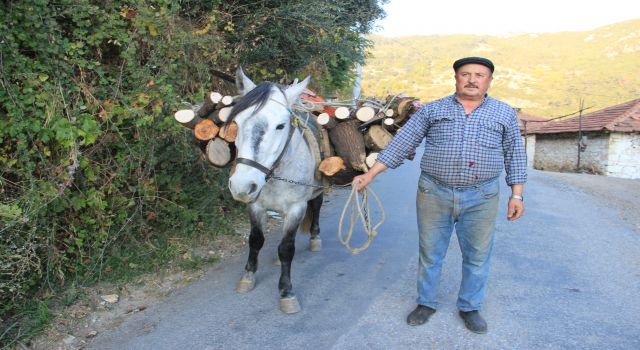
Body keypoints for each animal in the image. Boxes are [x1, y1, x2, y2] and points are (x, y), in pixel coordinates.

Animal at [228, 69, 322, 314]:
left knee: (317, 207)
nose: (241, 186)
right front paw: (248, 277)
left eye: (280, 126)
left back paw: (315, 238)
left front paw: (286, 292)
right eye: (237, 123)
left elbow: (287, 248)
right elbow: (255, 240)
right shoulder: (255, 205)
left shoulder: (297, 208)